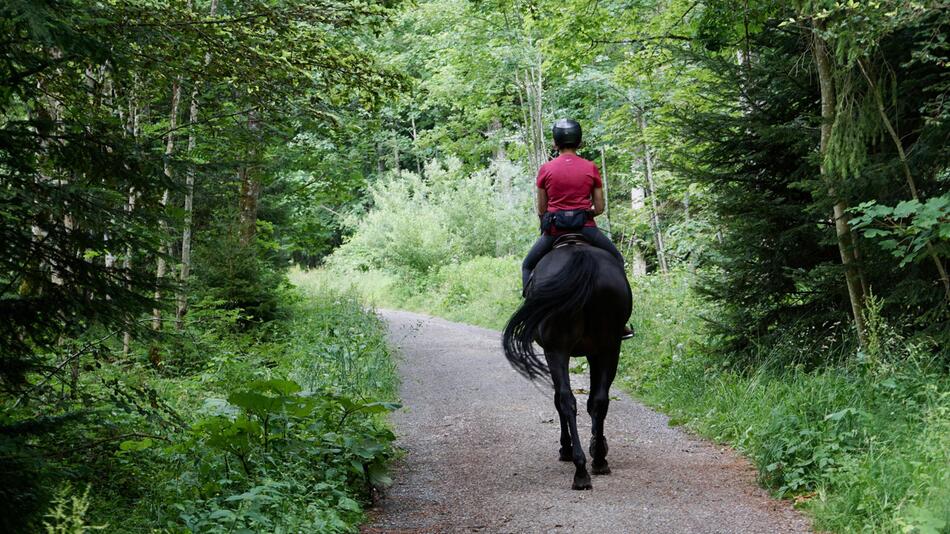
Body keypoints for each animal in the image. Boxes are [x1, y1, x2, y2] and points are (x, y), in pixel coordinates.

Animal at [506, 241, 632, 492]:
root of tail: (582, 257)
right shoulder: (595, 352)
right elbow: (593, 400)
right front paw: (596, 443)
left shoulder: (555, 352)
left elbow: (559, 399)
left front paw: (567, 447)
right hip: (609, 347)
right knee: (599, 400)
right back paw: (598, 461)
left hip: (557, 349)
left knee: (566, 400)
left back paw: (579, 467)